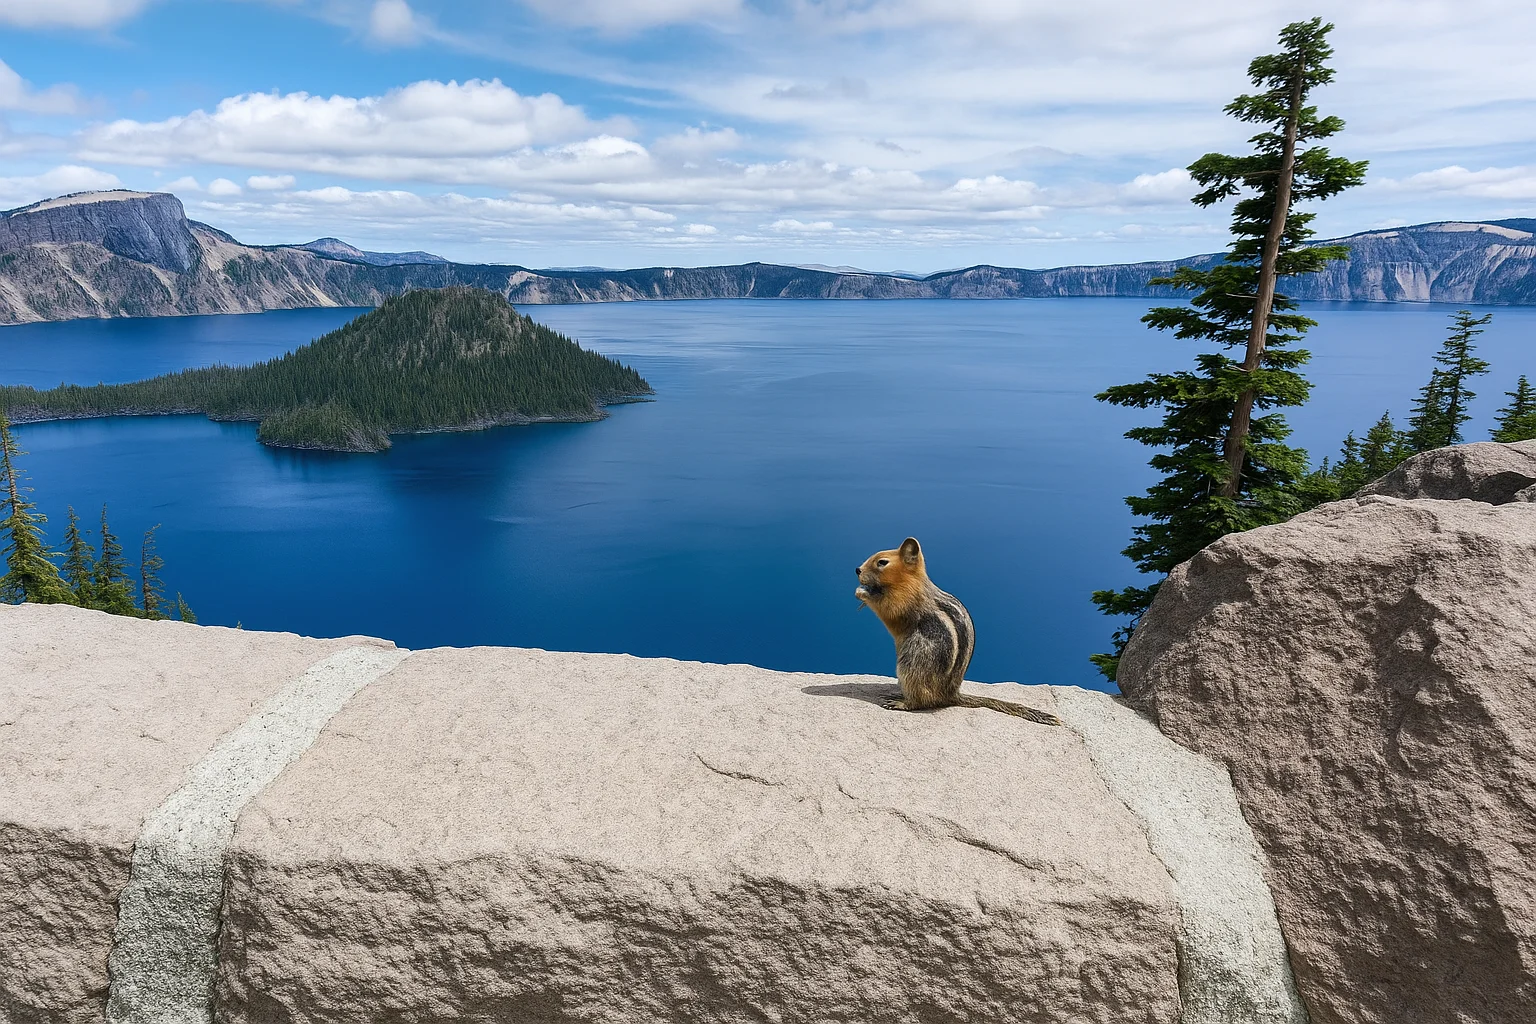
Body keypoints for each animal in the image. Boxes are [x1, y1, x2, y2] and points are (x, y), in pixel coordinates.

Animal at [855, 537, 1059, 726]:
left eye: (882, 562)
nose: (857, 570)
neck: (911, 581)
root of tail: (951, 694)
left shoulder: (904, 601)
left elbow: (890, 611)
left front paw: (862, 593)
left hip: (911, 665)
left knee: (921, 701)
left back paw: (901, 702)